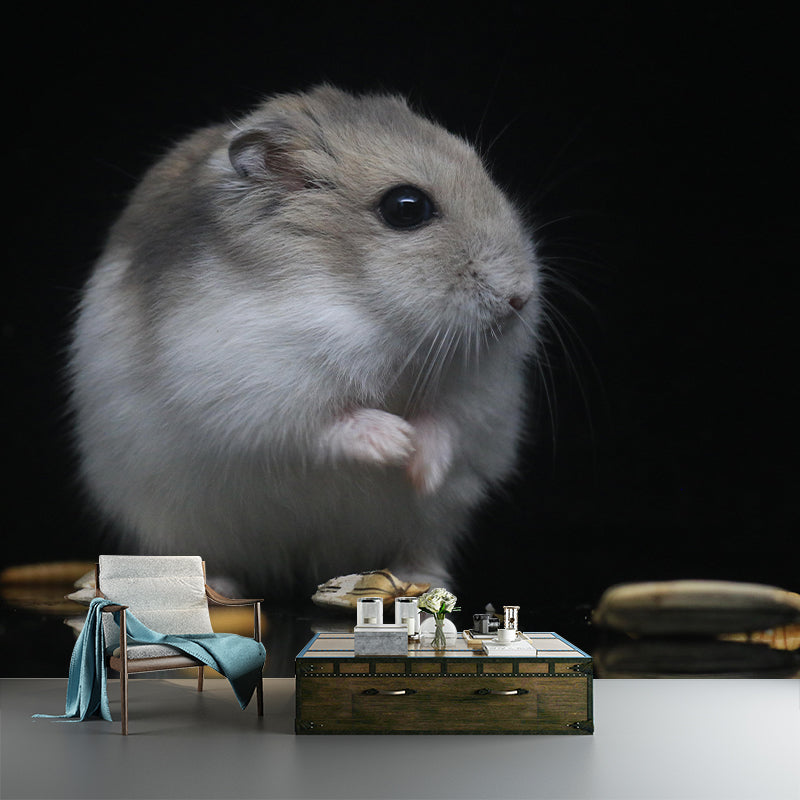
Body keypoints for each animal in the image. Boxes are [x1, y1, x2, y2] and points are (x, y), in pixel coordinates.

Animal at [69, 85, 541, 596]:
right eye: (406, 207)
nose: (521, 296)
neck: (367, 307)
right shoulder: (254, 393)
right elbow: (325, 424)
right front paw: (397, 441)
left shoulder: (482, 394)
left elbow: (450, 422)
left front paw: (421, 467)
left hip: (433, 523)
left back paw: (423, 582)